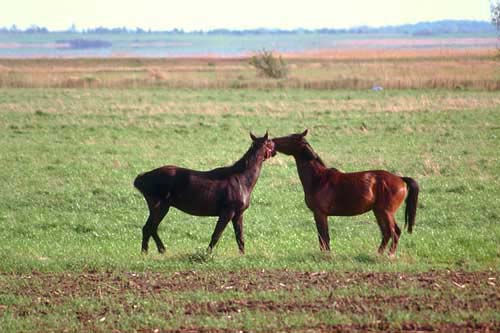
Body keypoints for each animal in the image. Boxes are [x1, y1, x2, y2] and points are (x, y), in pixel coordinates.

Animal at [134, 131, 274, 253]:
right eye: (269, 142)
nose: (274, 151)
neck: (241, 179)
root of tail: (142, 178)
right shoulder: (227, 212)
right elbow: (216, 235)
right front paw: (207, 254)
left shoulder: (238, 214)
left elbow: (240, 238)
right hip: (160, 207)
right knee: (148, 228)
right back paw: (149, 252)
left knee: (151, 228)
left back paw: (157, 250)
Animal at [272, 129, 420, 254]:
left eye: (289, 139)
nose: (273, 141)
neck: (319, 179)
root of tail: (400, 179)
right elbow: (323, 237)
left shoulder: (320, 213)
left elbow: (323, 237)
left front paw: (326, 255)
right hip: (379, 212)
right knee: (387, 233)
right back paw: (379, 253)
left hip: (386, 212)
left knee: (394, 232)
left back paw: (389, 255)